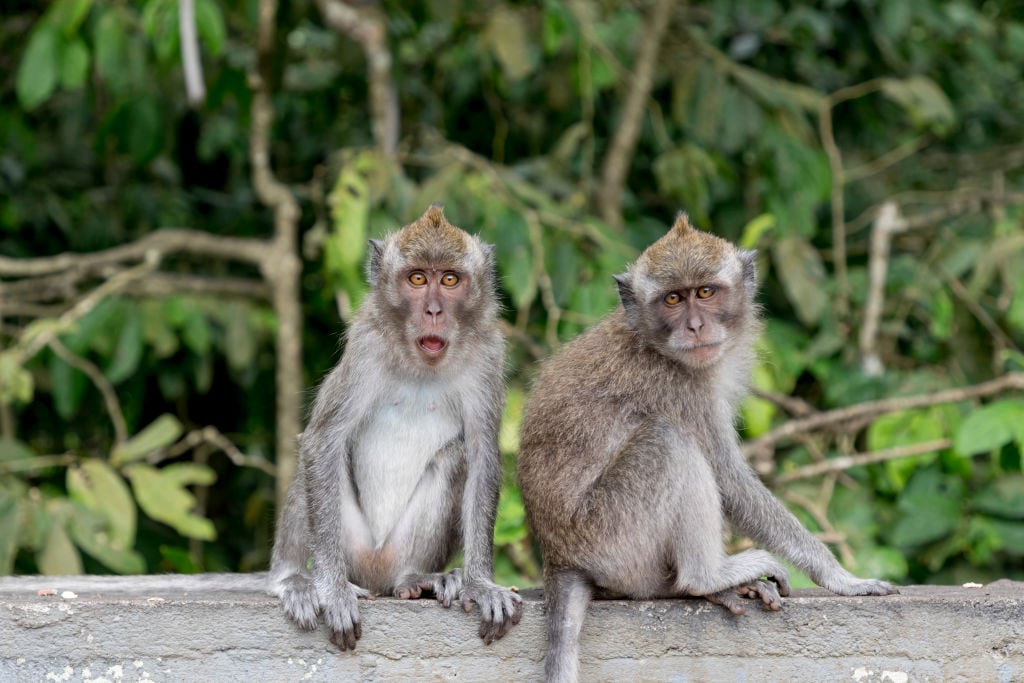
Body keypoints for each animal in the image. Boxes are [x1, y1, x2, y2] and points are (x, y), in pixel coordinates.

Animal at [268, 203, 522, 651]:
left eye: (450, 279)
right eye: (417, 278)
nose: (433, 311)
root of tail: (378, 574)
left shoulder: (488, 355)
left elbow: (481, 455)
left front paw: (480, 584)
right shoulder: (366, 346)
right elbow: (323, 441)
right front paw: (332, 591)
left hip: (399, 550)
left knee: (456, 458)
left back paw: (416, 579)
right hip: (351, 547)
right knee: (311, 459)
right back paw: (294, 578)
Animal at [517, 213, 897, 682]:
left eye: (705, 292)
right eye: (672, 299)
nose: (695, 326)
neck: (652, 341)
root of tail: (559, 558)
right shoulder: (677, 389)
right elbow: (728, 478)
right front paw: (839, 576)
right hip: (610, 536)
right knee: (670, 442)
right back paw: (708, 577)